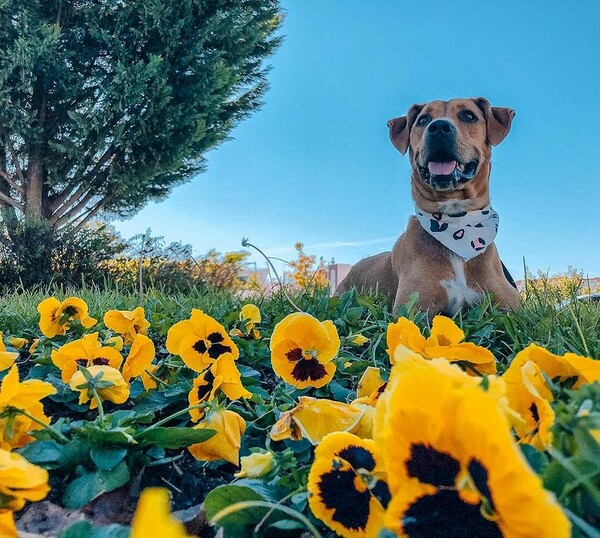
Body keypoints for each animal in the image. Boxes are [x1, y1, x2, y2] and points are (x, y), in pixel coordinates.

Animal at [338, 97, 520, 314]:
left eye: (468, 116)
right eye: (423, 120)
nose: (439, 127)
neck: (455, 219)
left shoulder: (511, 306)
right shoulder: (413, 306)